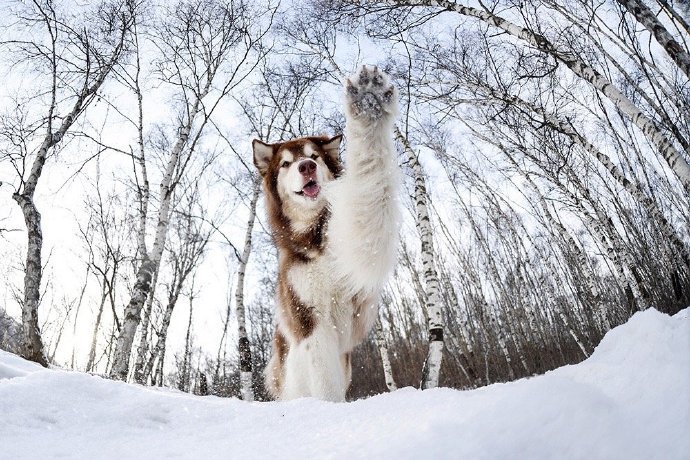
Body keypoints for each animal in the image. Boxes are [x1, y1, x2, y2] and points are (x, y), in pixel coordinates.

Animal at [253, 65, 398, 402]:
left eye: (314, 156)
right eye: (286, 163)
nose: (306, 166)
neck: (315, 239)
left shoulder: (358, 254)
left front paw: (368, 103)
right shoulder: (310, 321)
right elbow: (324, 381)